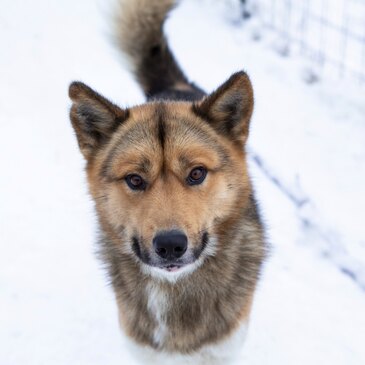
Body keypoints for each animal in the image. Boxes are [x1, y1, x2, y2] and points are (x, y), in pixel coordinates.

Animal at [68, 0, 266, 364]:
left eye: (197, 173)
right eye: (134, 179)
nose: (171, 244)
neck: (172, 288)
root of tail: (177, 88)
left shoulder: (223, 350)